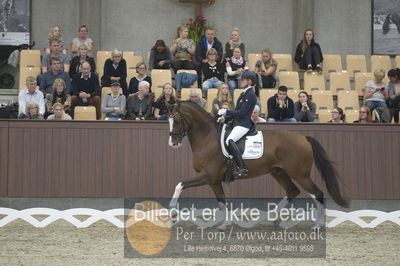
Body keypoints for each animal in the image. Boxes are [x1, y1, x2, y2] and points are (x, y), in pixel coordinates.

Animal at [167, 101, 348, 230]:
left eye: (176, 120)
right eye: (168, 120)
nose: (172, 143)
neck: (207, 137)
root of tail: (304, 138)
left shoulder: (208, 175)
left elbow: (180, 185)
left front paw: (173, 213)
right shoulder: (214, 180)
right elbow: (221, 201)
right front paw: (225, 224)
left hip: (300, 174)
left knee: (317, 193)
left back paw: (318, 225)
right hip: (279, 172)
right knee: (293, 191)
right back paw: (274, 217)